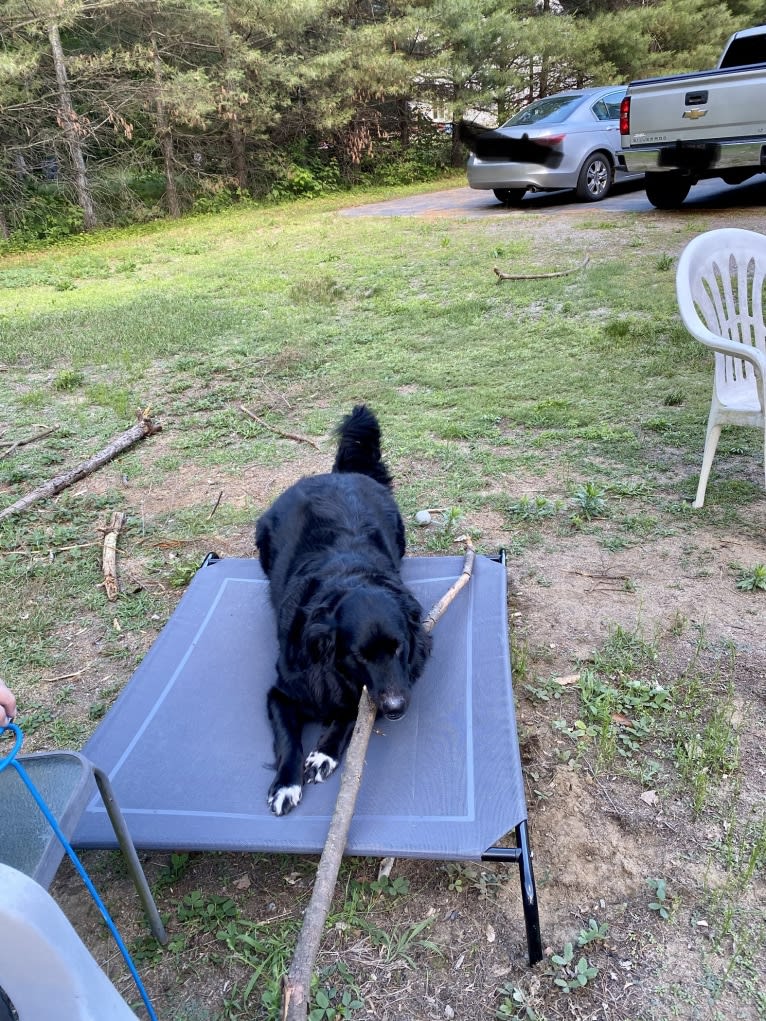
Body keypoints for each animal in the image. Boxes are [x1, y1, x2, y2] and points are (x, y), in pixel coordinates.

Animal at [256, 404, 433, 812]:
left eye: (399, 648)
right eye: (359, 656)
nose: (396, 708)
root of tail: (338, 475)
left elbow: (350, 714)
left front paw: (325, 752)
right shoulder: (280, 692)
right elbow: (288, 739)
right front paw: (285, 783)